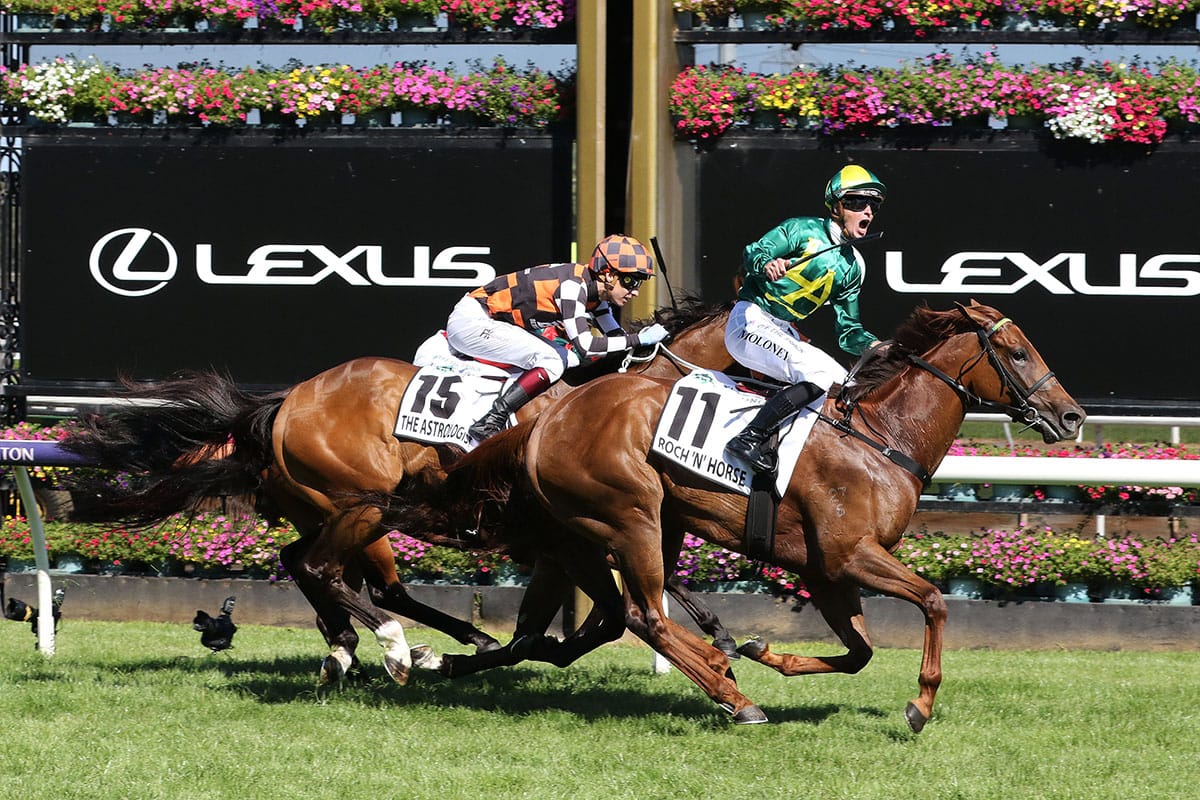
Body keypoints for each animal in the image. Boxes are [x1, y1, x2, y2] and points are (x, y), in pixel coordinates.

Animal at [59, 300, 743, 684]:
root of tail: (285, 402)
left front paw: (723, 633)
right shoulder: (563, 539)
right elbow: (598, 614)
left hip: (327, 507)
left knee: (307, 564)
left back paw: (352, 647)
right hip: (363, 502)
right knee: (339, 574)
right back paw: (394, 647)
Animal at [393, 301, 1085, 730]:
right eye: (1017, 353)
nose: (1072, 416)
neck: (881, 440)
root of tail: (548, 418)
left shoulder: (826, 570)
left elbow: (859, 651)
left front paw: (765, 650)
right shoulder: (850, 554)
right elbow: (935, 602)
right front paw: (920, 704)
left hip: (617, 527)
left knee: (613, 616)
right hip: (633, 514)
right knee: (644, 615)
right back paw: (732, 694)